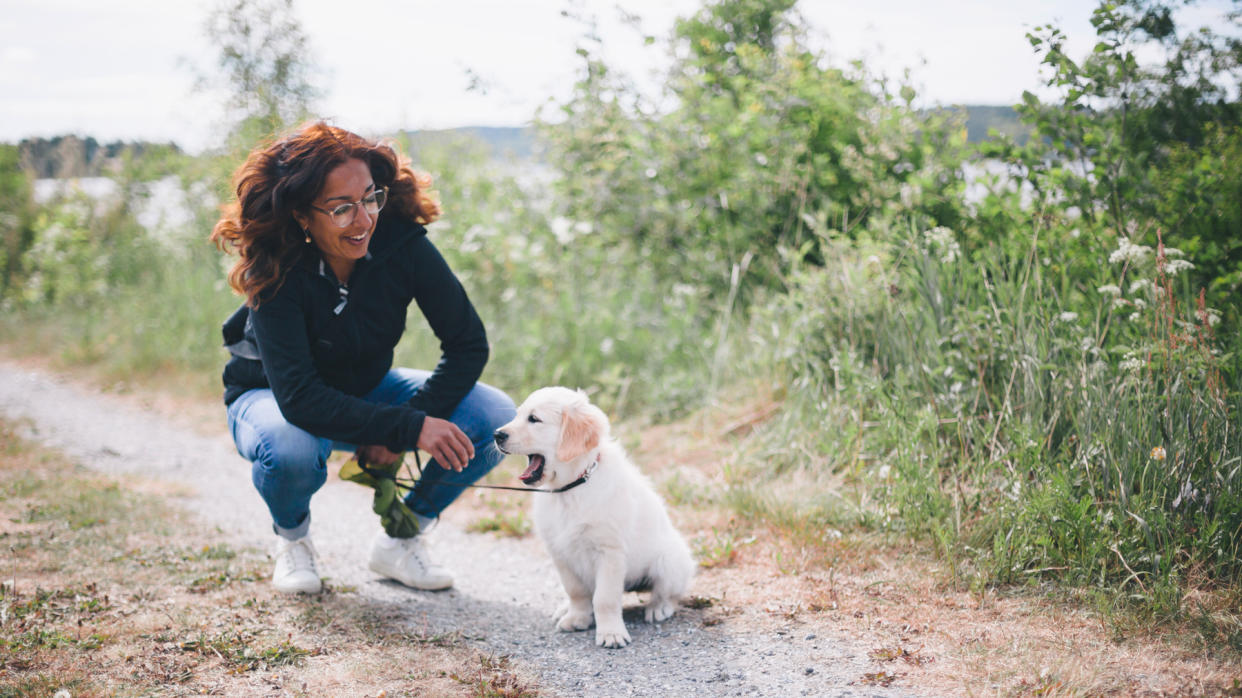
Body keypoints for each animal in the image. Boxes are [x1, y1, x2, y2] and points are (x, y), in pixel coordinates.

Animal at [494, 385, 695, 645]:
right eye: (518, 415)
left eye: (534, 419)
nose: (497, 434)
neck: (570, 488)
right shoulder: (560, 553)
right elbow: (576, 592)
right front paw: (577, 618)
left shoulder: (609, 552)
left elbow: (605, 598)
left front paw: (611, 633)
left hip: (670, 560)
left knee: (668, 593)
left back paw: (659, 607)